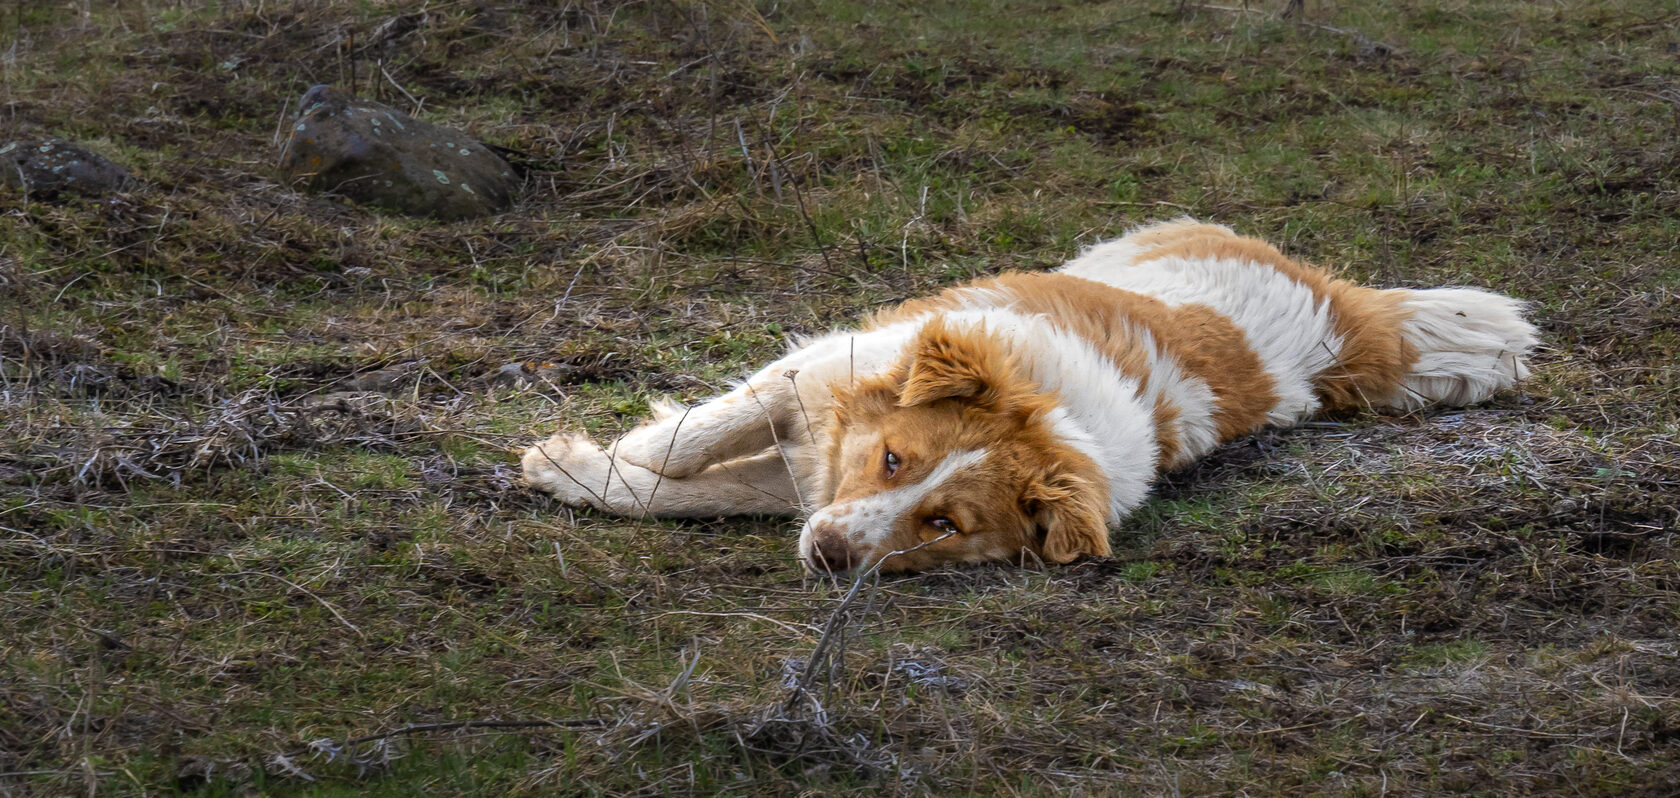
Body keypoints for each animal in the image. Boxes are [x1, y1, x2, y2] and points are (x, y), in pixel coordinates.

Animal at [524, 220, 1538, 574]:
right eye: (892, 458)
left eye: (944, 525)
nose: (829, 553)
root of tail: (1335, 314)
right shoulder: (813, 377)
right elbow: (695, 441)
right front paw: (596, 455)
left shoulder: (807, 477)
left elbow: (681, 493)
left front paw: (584, 465)